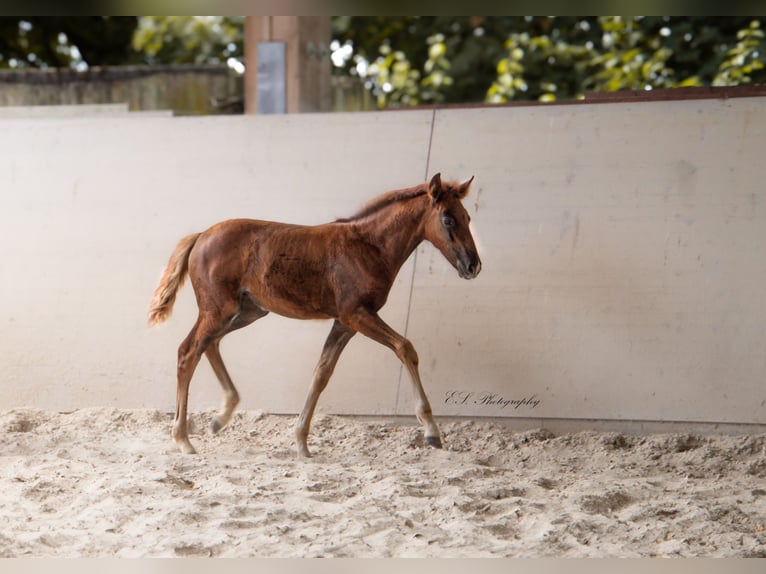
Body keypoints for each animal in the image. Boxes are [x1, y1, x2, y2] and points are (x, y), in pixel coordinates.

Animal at [148, 172, 484, 460]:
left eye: (468, 218)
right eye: (448, 218)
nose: (473, 266)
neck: (369, 246)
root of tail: (200, 235)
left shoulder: (345, 323)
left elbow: (322, 372)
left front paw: (301, 442)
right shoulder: (357, 314)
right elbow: (406, 348)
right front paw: (431, 431)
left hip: (246, 312)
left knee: (209, 346)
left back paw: (221, 417)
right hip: (219, 309)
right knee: (188, 351)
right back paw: (183, 438)